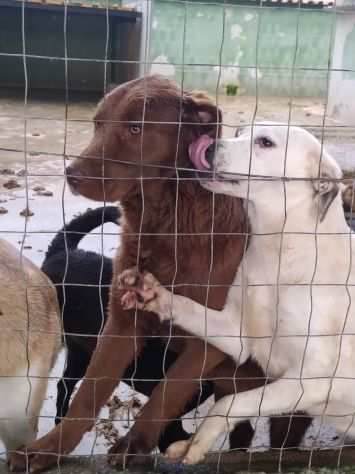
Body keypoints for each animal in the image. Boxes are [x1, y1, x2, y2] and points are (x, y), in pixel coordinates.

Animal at [120, 124, 355, 464]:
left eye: (265, 142)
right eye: (242, 131)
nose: (204, 146)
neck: (278, 254)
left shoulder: (312, 379)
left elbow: (230, 403)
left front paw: (199, 442)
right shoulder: (238, 336)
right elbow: (187, 306)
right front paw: (152, 294)